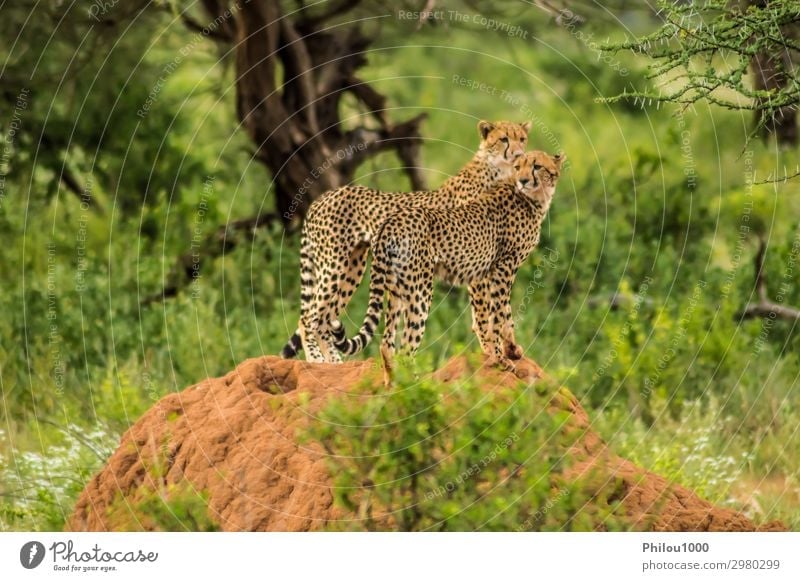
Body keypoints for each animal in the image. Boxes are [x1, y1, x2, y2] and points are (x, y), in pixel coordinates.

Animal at [282, 119, 532, 360]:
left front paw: (512, 349)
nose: (519, 154)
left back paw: (334, 365)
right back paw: (319, 362)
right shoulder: (477, 263)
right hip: (334, 265)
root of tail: (322, 197)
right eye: (504, 139)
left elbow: (504, 311)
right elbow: (484, 313)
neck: (498, 172)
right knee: (307, 320)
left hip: (353, 267)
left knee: (324, 320)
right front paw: (491, 351)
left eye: (522, 139)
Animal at [328, 152, 564, 382]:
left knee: (387, 344)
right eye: (518, 167)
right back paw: (417, 385)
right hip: (420, 291)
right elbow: (497, 315)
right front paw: (500, 358)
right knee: (406, 347)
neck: (533, 199)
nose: (523, 180)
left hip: (396, 289)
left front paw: (511, 350)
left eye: (536, 166)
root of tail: (391, 221)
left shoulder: (491, 271)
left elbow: (502, 314)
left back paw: (394, 384)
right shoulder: (503, 267)